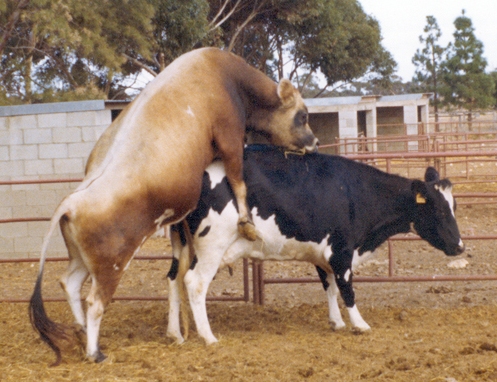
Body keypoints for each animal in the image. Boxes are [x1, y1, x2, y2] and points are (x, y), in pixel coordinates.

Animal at [28, 47, 318, 364]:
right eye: (302, 115)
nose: (315, 142)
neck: (227, 75)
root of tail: (72, 200)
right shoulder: (229, 137)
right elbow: (238, 181)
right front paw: (246, 223)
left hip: (81, 259)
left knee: (69, 284)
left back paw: (81, 333)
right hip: (111, 265)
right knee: (95, 302)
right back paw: (95, 351)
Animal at [166, 145, 462, 344]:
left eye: (454, 206)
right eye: (439, 210)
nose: (460, 246)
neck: (356, 193)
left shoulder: (323, 255)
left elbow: (329, 287)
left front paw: (337, 321)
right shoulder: (341, 251)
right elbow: (347, 289)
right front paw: (359, 324)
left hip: (182, 246)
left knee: (173, 279)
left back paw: (175, 333)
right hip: (211, 247)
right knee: (194, 282)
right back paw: (208, 336)